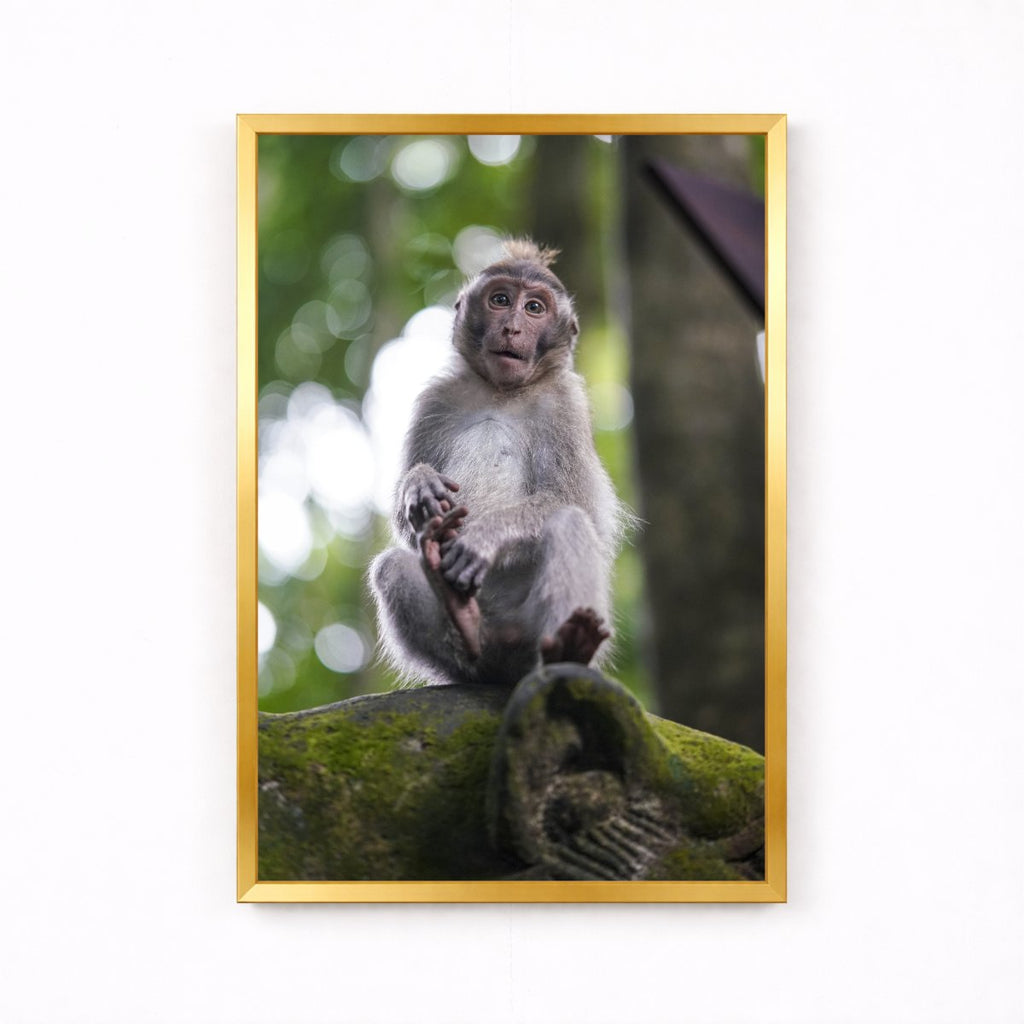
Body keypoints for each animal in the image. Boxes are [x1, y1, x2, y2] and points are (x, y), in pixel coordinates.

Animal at [369, 239, 627, 687]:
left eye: (534, 308)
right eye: (501, 300)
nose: (512, 328)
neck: (501, 393)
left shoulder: (565, 406)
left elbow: (577, 504)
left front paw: (486, 536)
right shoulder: (435, 401)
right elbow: (405, 526)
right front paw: (419, 483)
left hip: (531, 631)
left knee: (569, 522)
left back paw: (570, 649)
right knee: (391, 566)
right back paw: (468, 630)